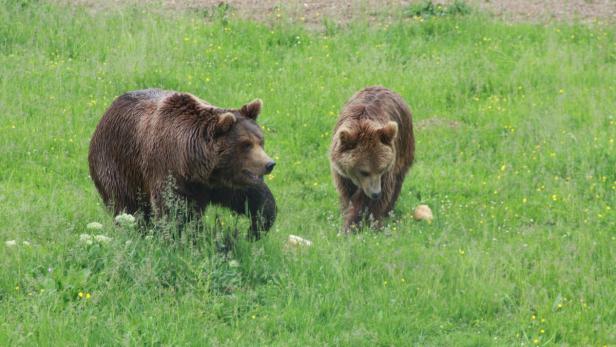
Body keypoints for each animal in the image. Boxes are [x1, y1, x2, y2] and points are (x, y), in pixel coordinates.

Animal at [87, 89, 276, 239]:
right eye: (245, 144)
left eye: (260, 141)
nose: (269, 164)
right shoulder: (168, 170)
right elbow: (176, 214)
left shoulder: (223, 181)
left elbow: (252, 198)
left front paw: (255, 229)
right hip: (118, 166)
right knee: (128, 207)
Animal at [328, 86, 414, 232]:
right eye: (364, 171)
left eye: (381, 169)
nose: (375, 193)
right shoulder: (342, 173)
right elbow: (347, 194)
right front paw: (349, 222)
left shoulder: (386, 172)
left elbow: (371, 200)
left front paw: (362, 223)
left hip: (404, 143)